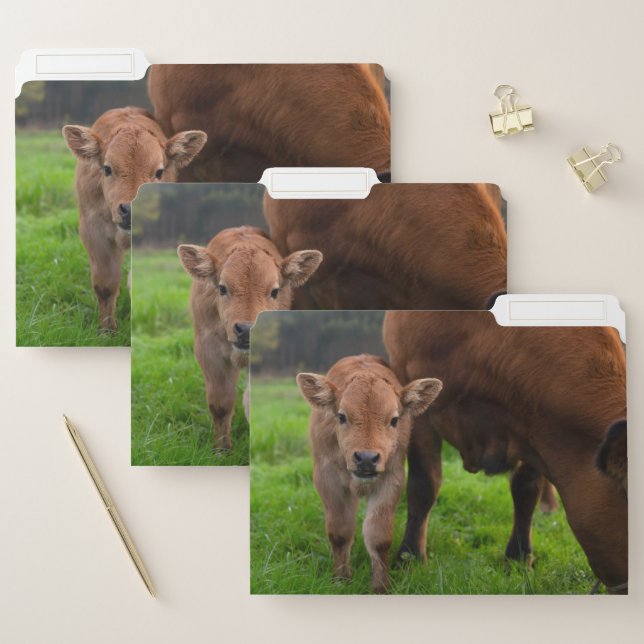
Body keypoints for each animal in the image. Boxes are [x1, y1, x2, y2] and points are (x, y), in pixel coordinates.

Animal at [62, 107, 207, 331]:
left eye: (159, 172)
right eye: (107, 169)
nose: (129, 210)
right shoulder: (93, 230)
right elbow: (105, 285)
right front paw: (107, 330)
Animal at [178, 226, 322, 450]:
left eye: (274, 291)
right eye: (222, 288)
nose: (246, 329)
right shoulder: (208, 349)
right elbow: (220, 403)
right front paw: (222, 449)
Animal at [297, 354, 442, 593]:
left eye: (394, 420)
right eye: (342, 417)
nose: (366, 458)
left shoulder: (391, 479)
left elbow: (379, 537)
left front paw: (381, 586)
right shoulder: (327, 480)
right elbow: (340, 532)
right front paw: (341, 579)